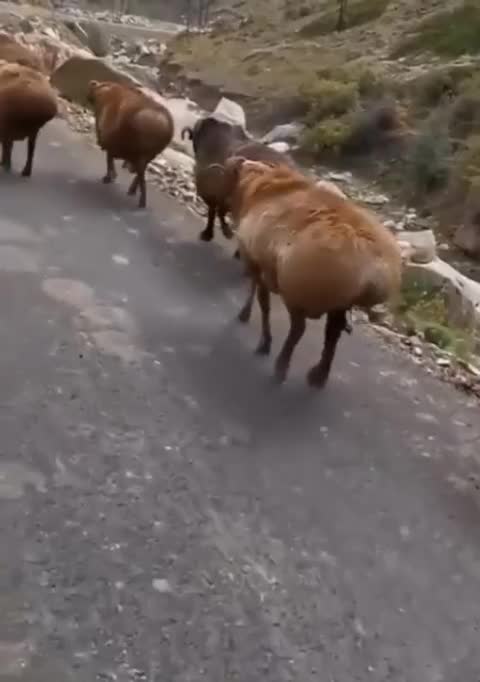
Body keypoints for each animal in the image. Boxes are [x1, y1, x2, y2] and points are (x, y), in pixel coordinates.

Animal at [87, 79, 174, 208]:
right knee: (141, 172)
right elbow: (110, 158)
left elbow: (109, 158)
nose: (92, 84)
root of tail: (166, 126)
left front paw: (109, 177)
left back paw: (141, 200)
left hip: (142, 154)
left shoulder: (111, 141)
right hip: (150, 154)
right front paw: (111, 176)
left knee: (141, 174)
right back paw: (133, 191)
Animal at [216, 156, 402, 388]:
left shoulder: (258, 264)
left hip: (298, 291)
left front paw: (259, 334)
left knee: (299, 329)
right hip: (337, 301)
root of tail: (371, 267)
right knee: (333, 333)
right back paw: (319, 375)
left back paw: (281, 367)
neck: (259, 185)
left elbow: (263, 304)